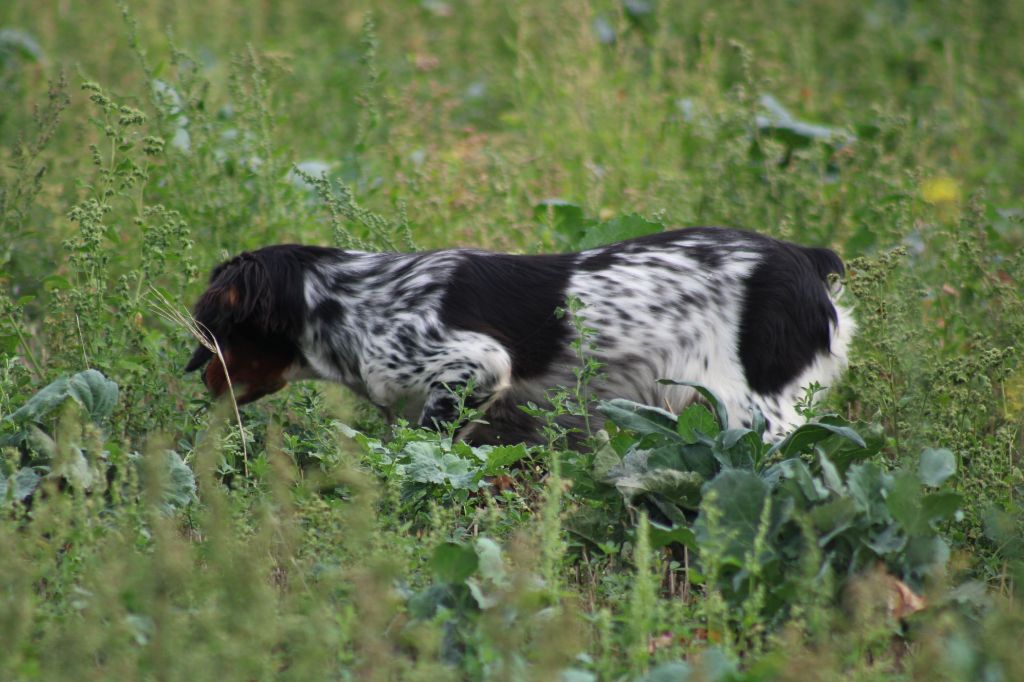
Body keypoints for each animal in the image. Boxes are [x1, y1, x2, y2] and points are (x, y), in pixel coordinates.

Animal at [186, 225, 856, 444]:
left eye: (212, 330)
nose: (201, 383)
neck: (353, 300)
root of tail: (802, 257)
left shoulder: (476, 365)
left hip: (755, 415)